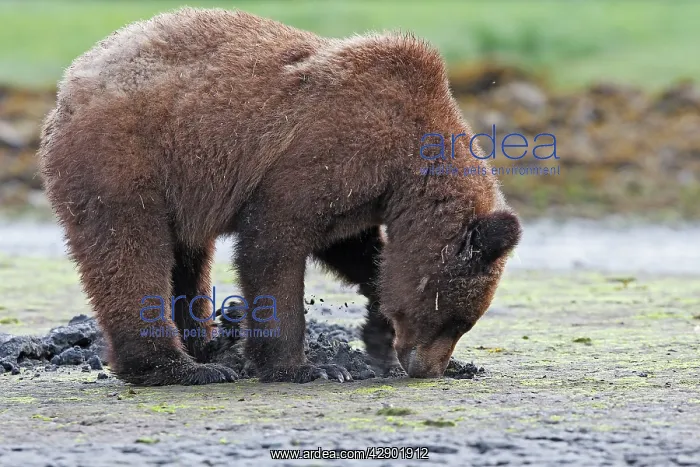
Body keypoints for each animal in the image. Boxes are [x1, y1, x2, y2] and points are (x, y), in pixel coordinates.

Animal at [38, 7, 521, 385]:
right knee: (130, 252)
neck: (406, 165)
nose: (427, 368)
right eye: (455, 318)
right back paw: (180, 367)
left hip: (178, 188)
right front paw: (307, 366)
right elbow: (273, 247)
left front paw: (395, 339)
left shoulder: (357, 192)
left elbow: (354, 249)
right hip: (128, 158)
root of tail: (69, 84)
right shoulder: (324, 152)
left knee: (187, 260)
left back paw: (206, 348)